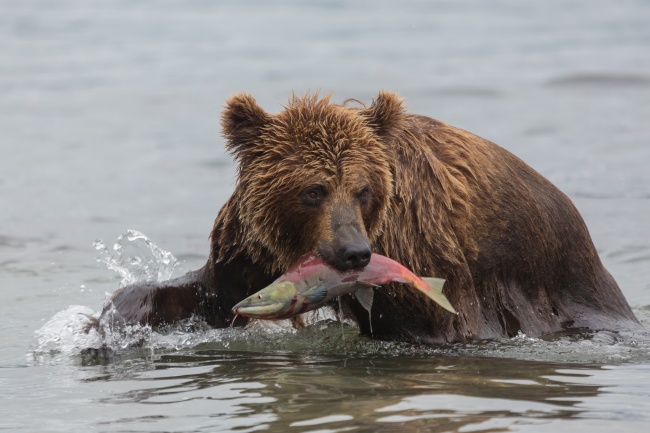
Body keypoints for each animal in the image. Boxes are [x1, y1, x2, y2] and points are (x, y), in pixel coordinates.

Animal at [101, 89, 636, 342]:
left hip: (555, 280)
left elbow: (424, 325)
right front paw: (110, 325)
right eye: (313, 190)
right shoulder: (250, 247)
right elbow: (208, 292)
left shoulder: (417, 250)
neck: (295, 246)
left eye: (363, 190)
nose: (355, 253)